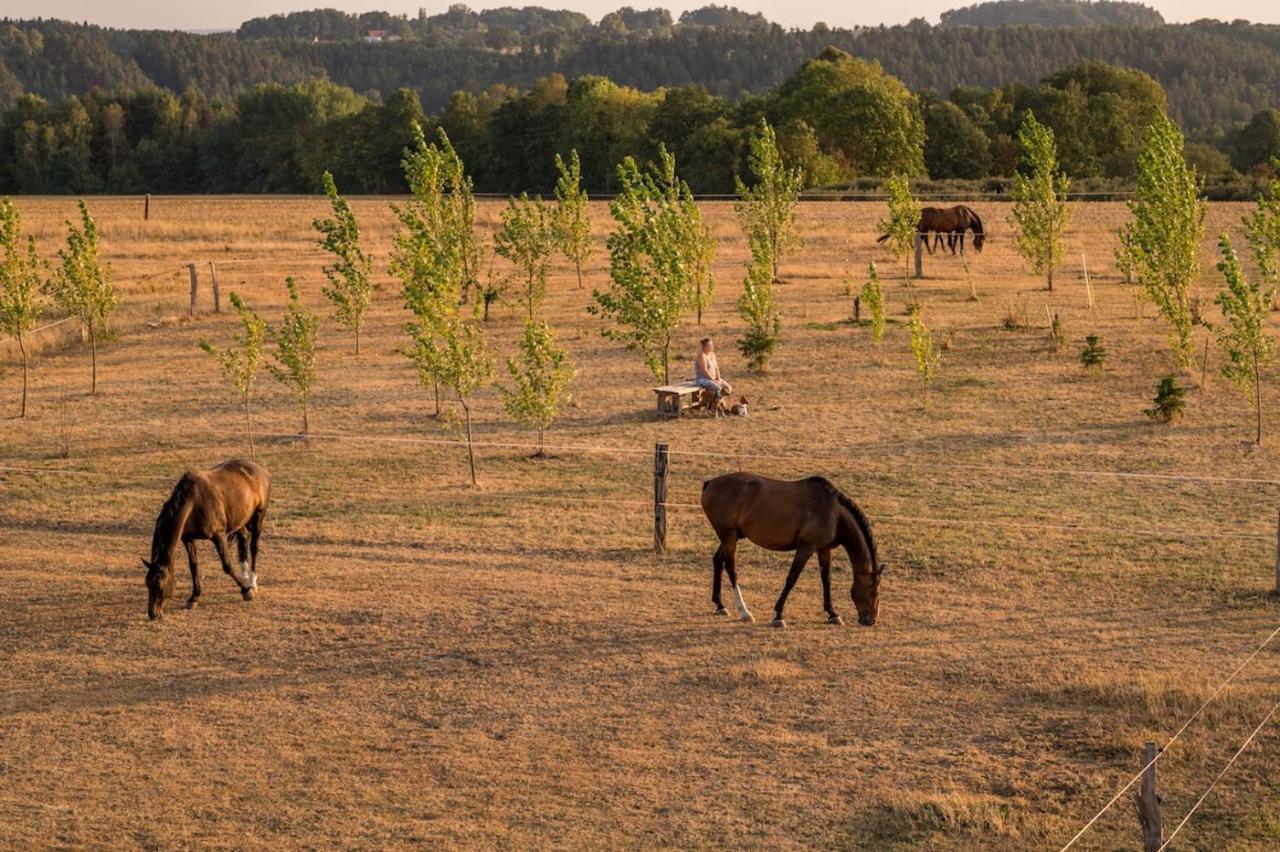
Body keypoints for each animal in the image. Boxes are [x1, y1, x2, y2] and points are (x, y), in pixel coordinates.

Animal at [144, 457, 271, 616]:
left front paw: (246, 591)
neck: (194, 502)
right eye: (147, 584)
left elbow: (227, 566)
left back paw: (252, 581)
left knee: (254, 547)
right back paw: (245, 576)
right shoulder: (188, 539)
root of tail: (259, 468)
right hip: (240, 519)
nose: (152, 614)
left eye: (160, 586)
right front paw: (194, 597)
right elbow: (193, 566)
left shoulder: (218, 536)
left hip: (259, 516)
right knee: (243, 539)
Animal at [701, 470, 880, 624]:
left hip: (731, 537)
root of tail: (710, 483)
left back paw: (720, 605)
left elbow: (826, 580)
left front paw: (832, 613)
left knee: (718, 561)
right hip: (729, 537)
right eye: (874, 590)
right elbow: (792, 578)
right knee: (731, 569)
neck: (834, 513)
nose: (870, 620)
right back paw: (745, 612)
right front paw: (778, 615)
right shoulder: (806, 548)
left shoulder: (824, 549)